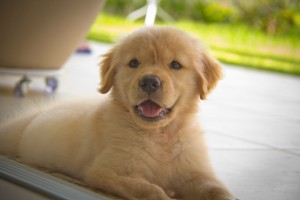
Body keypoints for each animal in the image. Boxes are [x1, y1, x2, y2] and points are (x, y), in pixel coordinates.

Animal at [0, 27, 234, 200]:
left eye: (175, 65)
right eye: (134, 63)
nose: (149, 81)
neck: (161, 135)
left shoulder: (199, 173)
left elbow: (219, 191)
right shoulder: (107, 171)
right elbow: (152, 190)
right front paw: (162, 192)